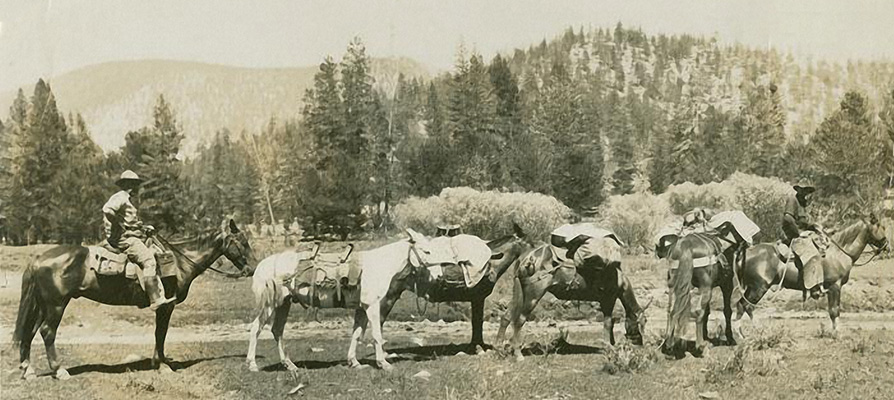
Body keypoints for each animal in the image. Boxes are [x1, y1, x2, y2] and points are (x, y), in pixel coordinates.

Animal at [12, 220, 254, 380]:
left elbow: (159, 334)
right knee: (47, 332)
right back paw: (59, 370)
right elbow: (160, 333)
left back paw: (28, 370)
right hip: (56, 305)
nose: (252, 268)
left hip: (42, 306)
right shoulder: (166, 306)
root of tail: (38, 258)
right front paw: (162, 365)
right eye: (242, 242)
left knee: (30, 332)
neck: (178, 261)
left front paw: (160, 362)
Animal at [494, 236, 656, 360]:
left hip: (518, 294)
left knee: (506, 317)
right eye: (643, 323)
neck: (619, 278)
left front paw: (611, 344)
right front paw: (608, 346)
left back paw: (498, 348)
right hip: (533, 296)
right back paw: (518, 354)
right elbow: (608, 323)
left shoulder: (606, 302)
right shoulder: (608, 300)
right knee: (519, 320)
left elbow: (610, 323)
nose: (642, 345)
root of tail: (527, 257)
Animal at [740, 217, 892, 332]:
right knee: (748, 306)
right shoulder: (834, 286)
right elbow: (834, 311)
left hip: (752, 287)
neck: (838, 252)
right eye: (881, 227)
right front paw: (836, 332)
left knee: (741, 305)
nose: (888, 247)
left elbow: (835, 310)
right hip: (759, 287)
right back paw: (756, 328)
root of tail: (747, 252)